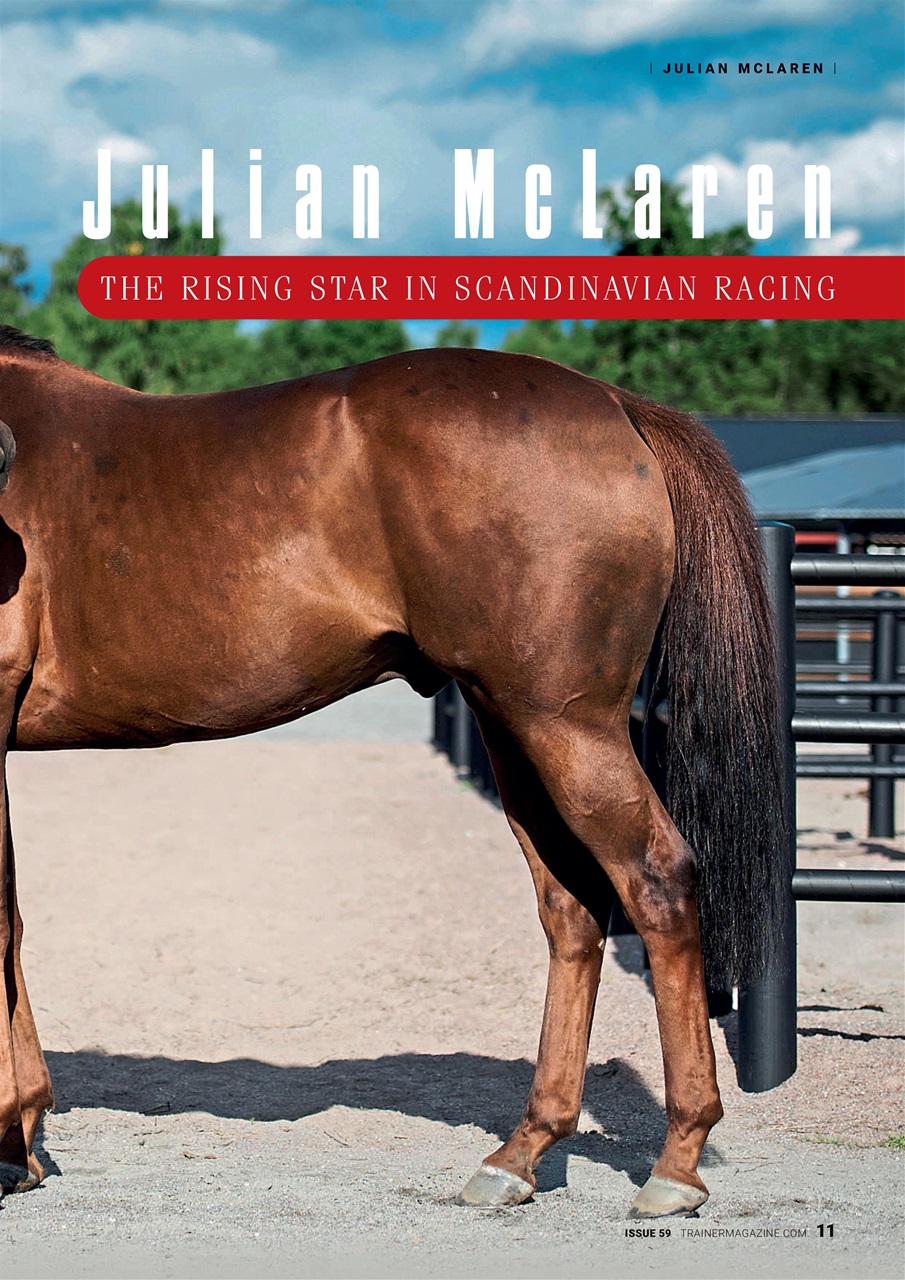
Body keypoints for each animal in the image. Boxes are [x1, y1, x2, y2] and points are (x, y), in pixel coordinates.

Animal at [0, 323, 784, 1217]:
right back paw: (521, 1154)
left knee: (656, 882)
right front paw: (21, 1145)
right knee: (572, 908)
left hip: (566, 725)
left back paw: (674, 1164)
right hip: (513, 728)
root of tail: (616, 404)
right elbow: (13, 922)